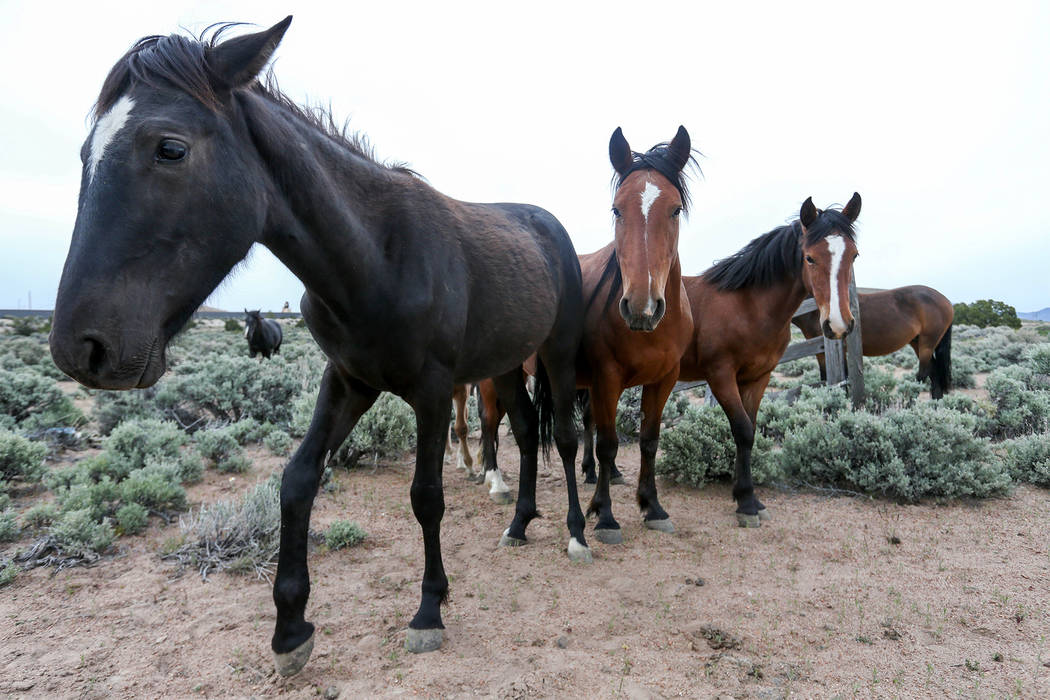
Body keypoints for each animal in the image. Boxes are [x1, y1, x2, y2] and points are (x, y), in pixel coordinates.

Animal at [47, 19, 592, 680]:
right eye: (84, 156)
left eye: (169, 148)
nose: (80, 346)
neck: (378, 254)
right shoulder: (348, 381)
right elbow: (298, 479)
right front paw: (290, 629)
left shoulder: (433, 392)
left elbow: (426, 497)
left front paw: (429, 610)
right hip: (507, 364)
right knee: (525, 425)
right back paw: (518, 523)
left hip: (556, 354)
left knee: (564, 436)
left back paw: (578, 534)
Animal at [676, 192, 865, 524]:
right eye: (810, 258)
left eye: (853, 256)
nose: (839, 324)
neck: (746, 306)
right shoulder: (721, 375)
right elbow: (741, 430)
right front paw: (746, 503)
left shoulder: (758, 377)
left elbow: (749, 430)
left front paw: (746, 497)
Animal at [789, 281, 957, 396]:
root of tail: (946, 301)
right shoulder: (820, 352)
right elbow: (825, 378)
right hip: (918, 343)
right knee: (934, 374)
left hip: (927, 344)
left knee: (922, 375)